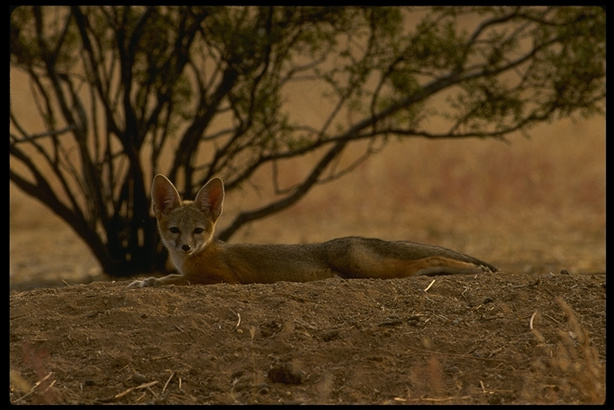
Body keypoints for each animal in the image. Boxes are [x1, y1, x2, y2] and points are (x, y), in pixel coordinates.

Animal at [127, 175, 498, 286]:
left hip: (367, 269)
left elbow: (173, 281)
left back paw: (471, 269)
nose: (185, 248)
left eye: (198, 231)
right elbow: (168, 277)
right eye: (175, 230)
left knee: (425, 260)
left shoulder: (219, 279)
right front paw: (146, 279)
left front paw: (148, 281)